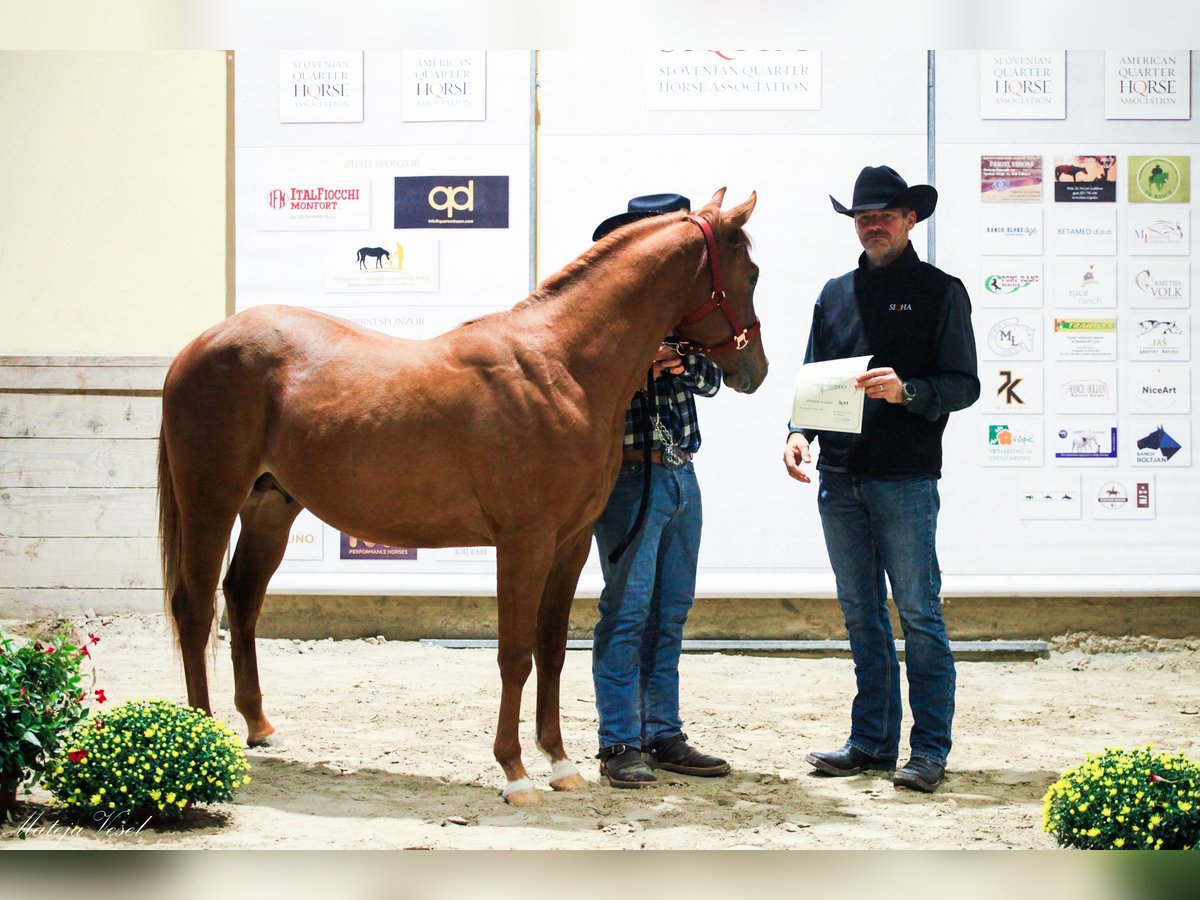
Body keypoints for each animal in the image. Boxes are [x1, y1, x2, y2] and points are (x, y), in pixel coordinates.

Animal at [157, 187, 768, 806]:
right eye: (753, 273)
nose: (756, 371)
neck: (561, 367)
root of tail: (196, 347)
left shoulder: (570, 543)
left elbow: (551, 650)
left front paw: (560, 763)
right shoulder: (524, 542)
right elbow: (515, 655)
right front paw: (515, 772)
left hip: (270, 506)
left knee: (241, 598)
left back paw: (258, 727)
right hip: (210, 501)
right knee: (195, 606)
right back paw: (204, 735)